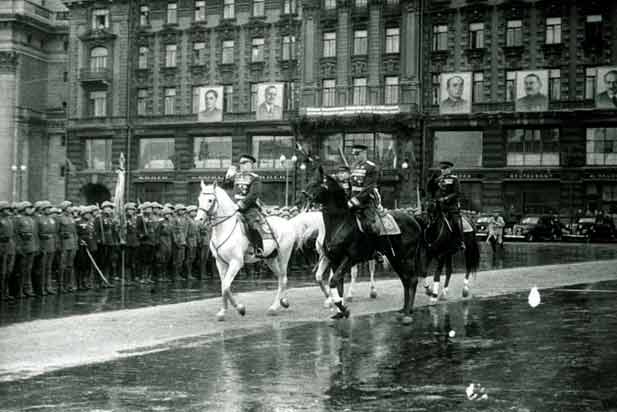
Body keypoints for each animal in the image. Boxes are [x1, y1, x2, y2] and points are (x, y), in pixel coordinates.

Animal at [196, 180, 315, 321]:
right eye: (199, 199)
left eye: (210, 200)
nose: (198, 220)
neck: (225, 228)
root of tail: (288, 223)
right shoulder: (220, 263)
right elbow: (224, 286)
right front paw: (223, 311)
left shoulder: (236, 262)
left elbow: (225, 286)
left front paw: (240, 308)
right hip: (270, 259)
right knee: (280, 278)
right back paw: (283, 301)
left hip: (284, 256)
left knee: (284, 279)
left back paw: (274, 307)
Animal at [304, 167, 425, 324]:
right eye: (310, 179)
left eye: (318, 182)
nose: (304, 194)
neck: (340, 223)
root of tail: (414, 218)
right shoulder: (335, 260)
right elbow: (338, 285)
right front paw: (340, 312)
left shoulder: (350, 259)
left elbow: (334, 282)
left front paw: (344, 309)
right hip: (395, 258)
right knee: (405, 280)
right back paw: (404, 309)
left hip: (407, 257)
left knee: (412, 279)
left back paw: (408, 314)